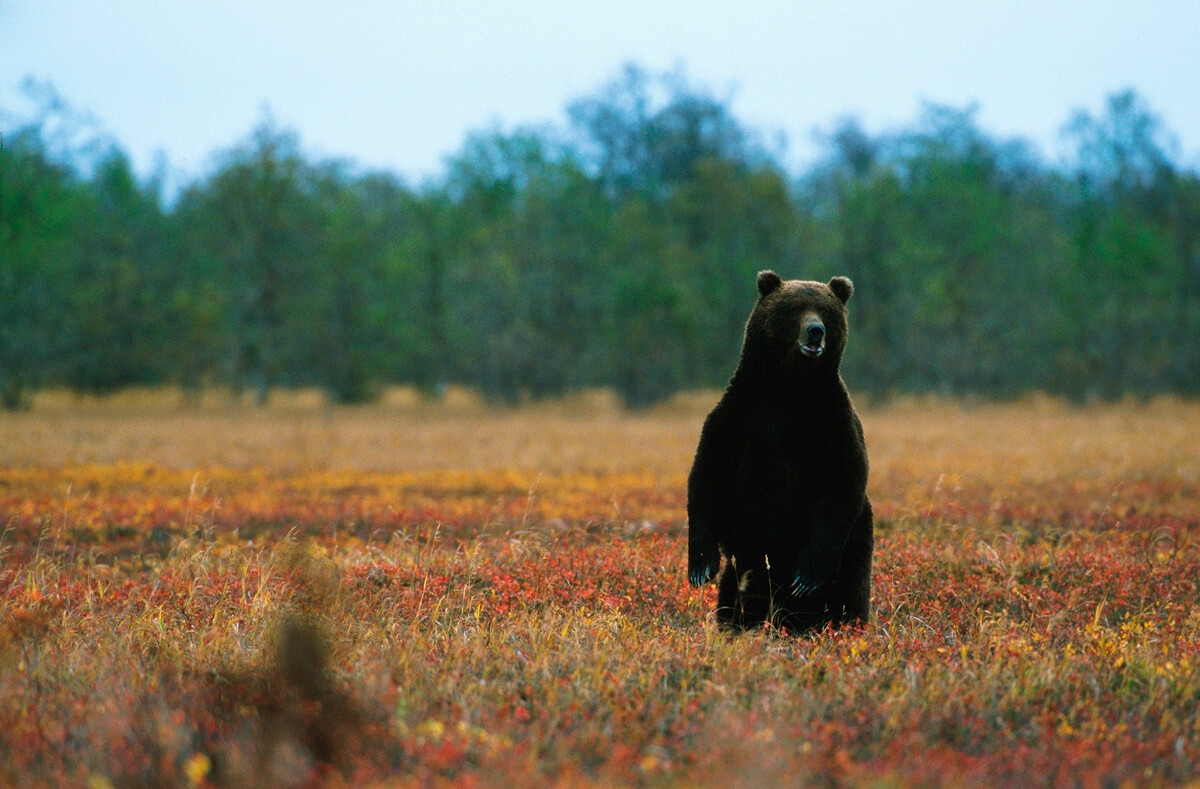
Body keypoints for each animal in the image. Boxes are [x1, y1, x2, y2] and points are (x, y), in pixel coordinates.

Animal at [686, 270, 873, 633]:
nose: (815, 330)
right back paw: (737, 624)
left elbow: (842, 483)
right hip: (749, 555)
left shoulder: (831, 422)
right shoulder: (738, 418)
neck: (789, 387)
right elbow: (707, 477)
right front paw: (700, 567)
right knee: (739, 591)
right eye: (795, 307)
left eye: (825, 310)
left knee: (849, 587)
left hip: (857, 539)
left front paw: (807, 576)